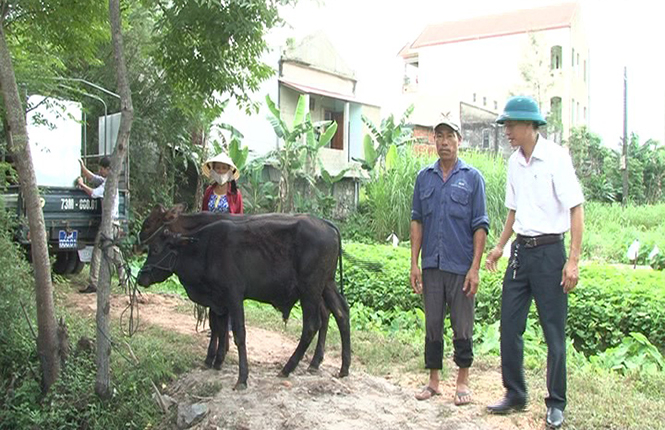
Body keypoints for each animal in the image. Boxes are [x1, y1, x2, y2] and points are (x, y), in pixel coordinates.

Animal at [136, 205, 352, 390]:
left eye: (155, 248)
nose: (140, 276)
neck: (204, 248)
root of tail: (326, 225)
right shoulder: (218, 301)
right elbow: (219, 327)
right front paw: (216, 361)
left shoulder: (233, 296)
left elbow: (238, 334)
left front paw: (240, 377)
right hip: (327, 285)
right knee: (341, 312)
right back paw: (341, 367)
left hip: (310, 290)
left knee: (313, 324)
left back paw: (288, 367)